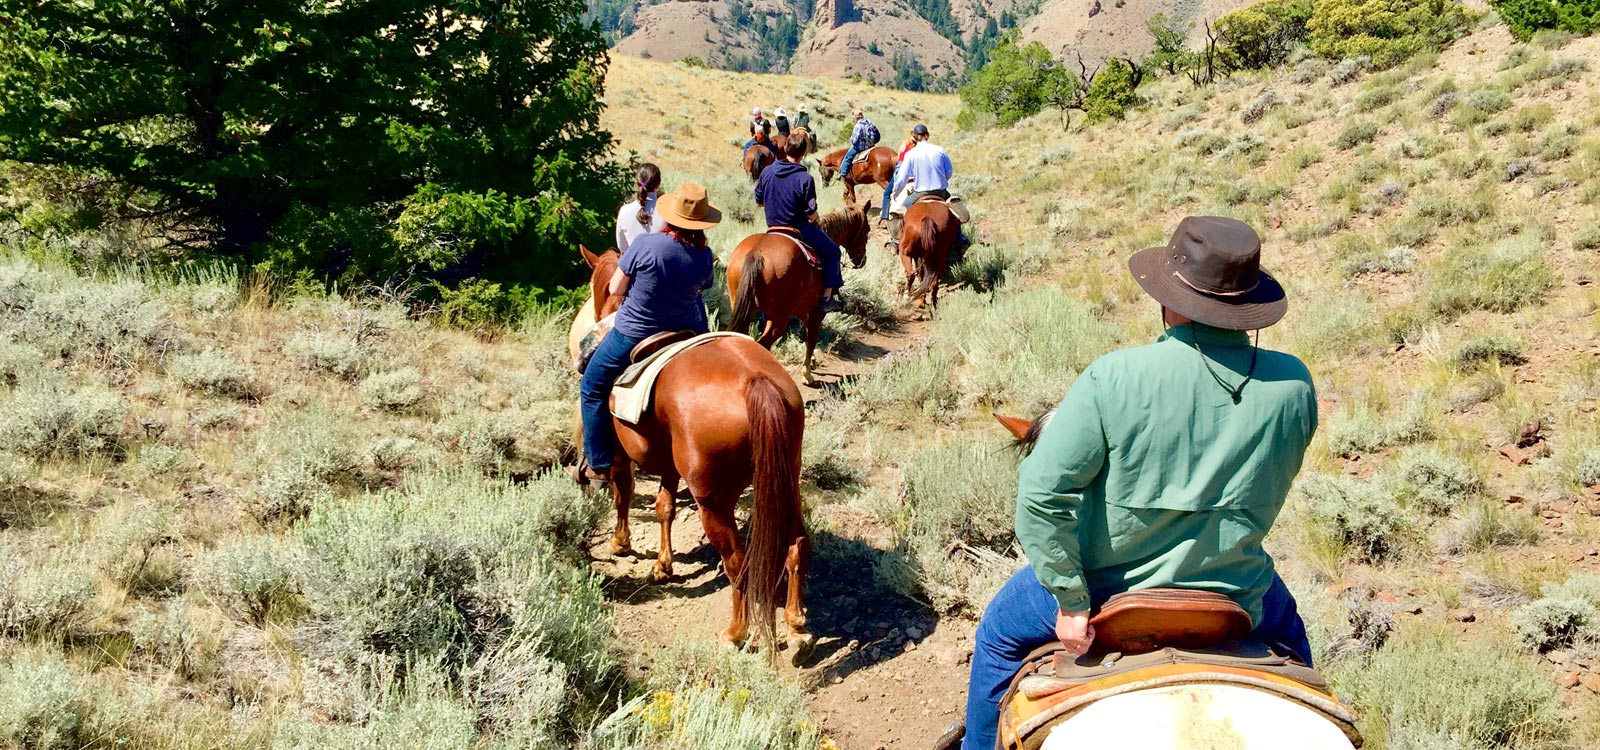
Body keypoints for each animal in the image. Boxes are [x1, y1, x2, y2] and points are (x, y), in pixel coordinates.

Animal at [576, 246, 812, 662]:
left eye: (598, 287)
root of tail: (758, 382)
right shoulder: (670, 464)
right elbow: (664, 506)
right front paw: (662, 565)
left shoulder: (619, 454)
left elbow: (623, 493)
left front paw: (621, 542)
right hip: (786, 481)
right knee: (795, 543)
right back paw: (798, 626)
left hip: (713, 501)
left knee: (736, 563)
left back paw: (735, 633)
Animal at [729, 201, 876, 382]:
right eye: (867, 229)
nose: (861, 260)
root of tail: (757, 252)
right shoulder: (817, 312)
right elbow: (812, 338)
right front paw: (807, 373)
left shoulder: (804, 311)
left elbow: (805, 336)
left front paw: (811, 363)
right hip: (778, 319)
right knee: (763, 345)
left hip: (743, 309)